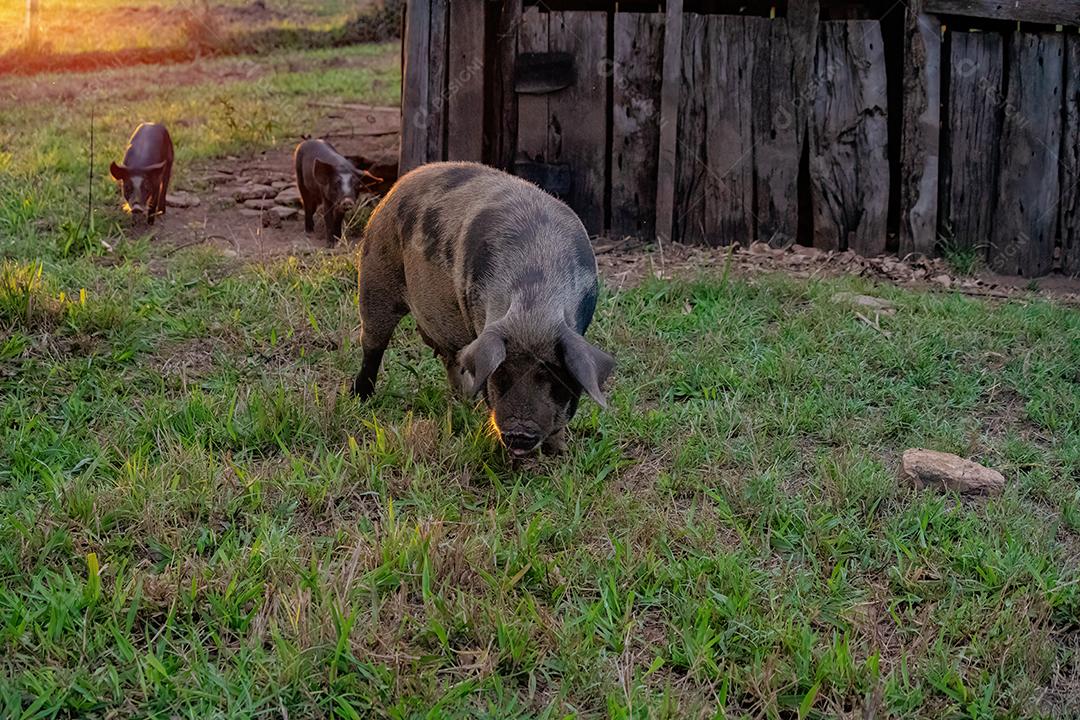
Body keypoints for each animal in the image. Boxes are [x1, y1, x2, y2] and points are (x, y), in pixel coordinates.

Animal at [352, 162, 615, 457]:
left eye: (552, 375)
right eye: (501, 374)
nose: (520, 433)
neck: (534, 305)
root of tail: (401, 182)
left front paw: (560, 452)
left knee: (451, 359)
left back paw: (465, 401)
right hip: (374, 275)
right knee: (373, 345)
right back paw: (360, 397)